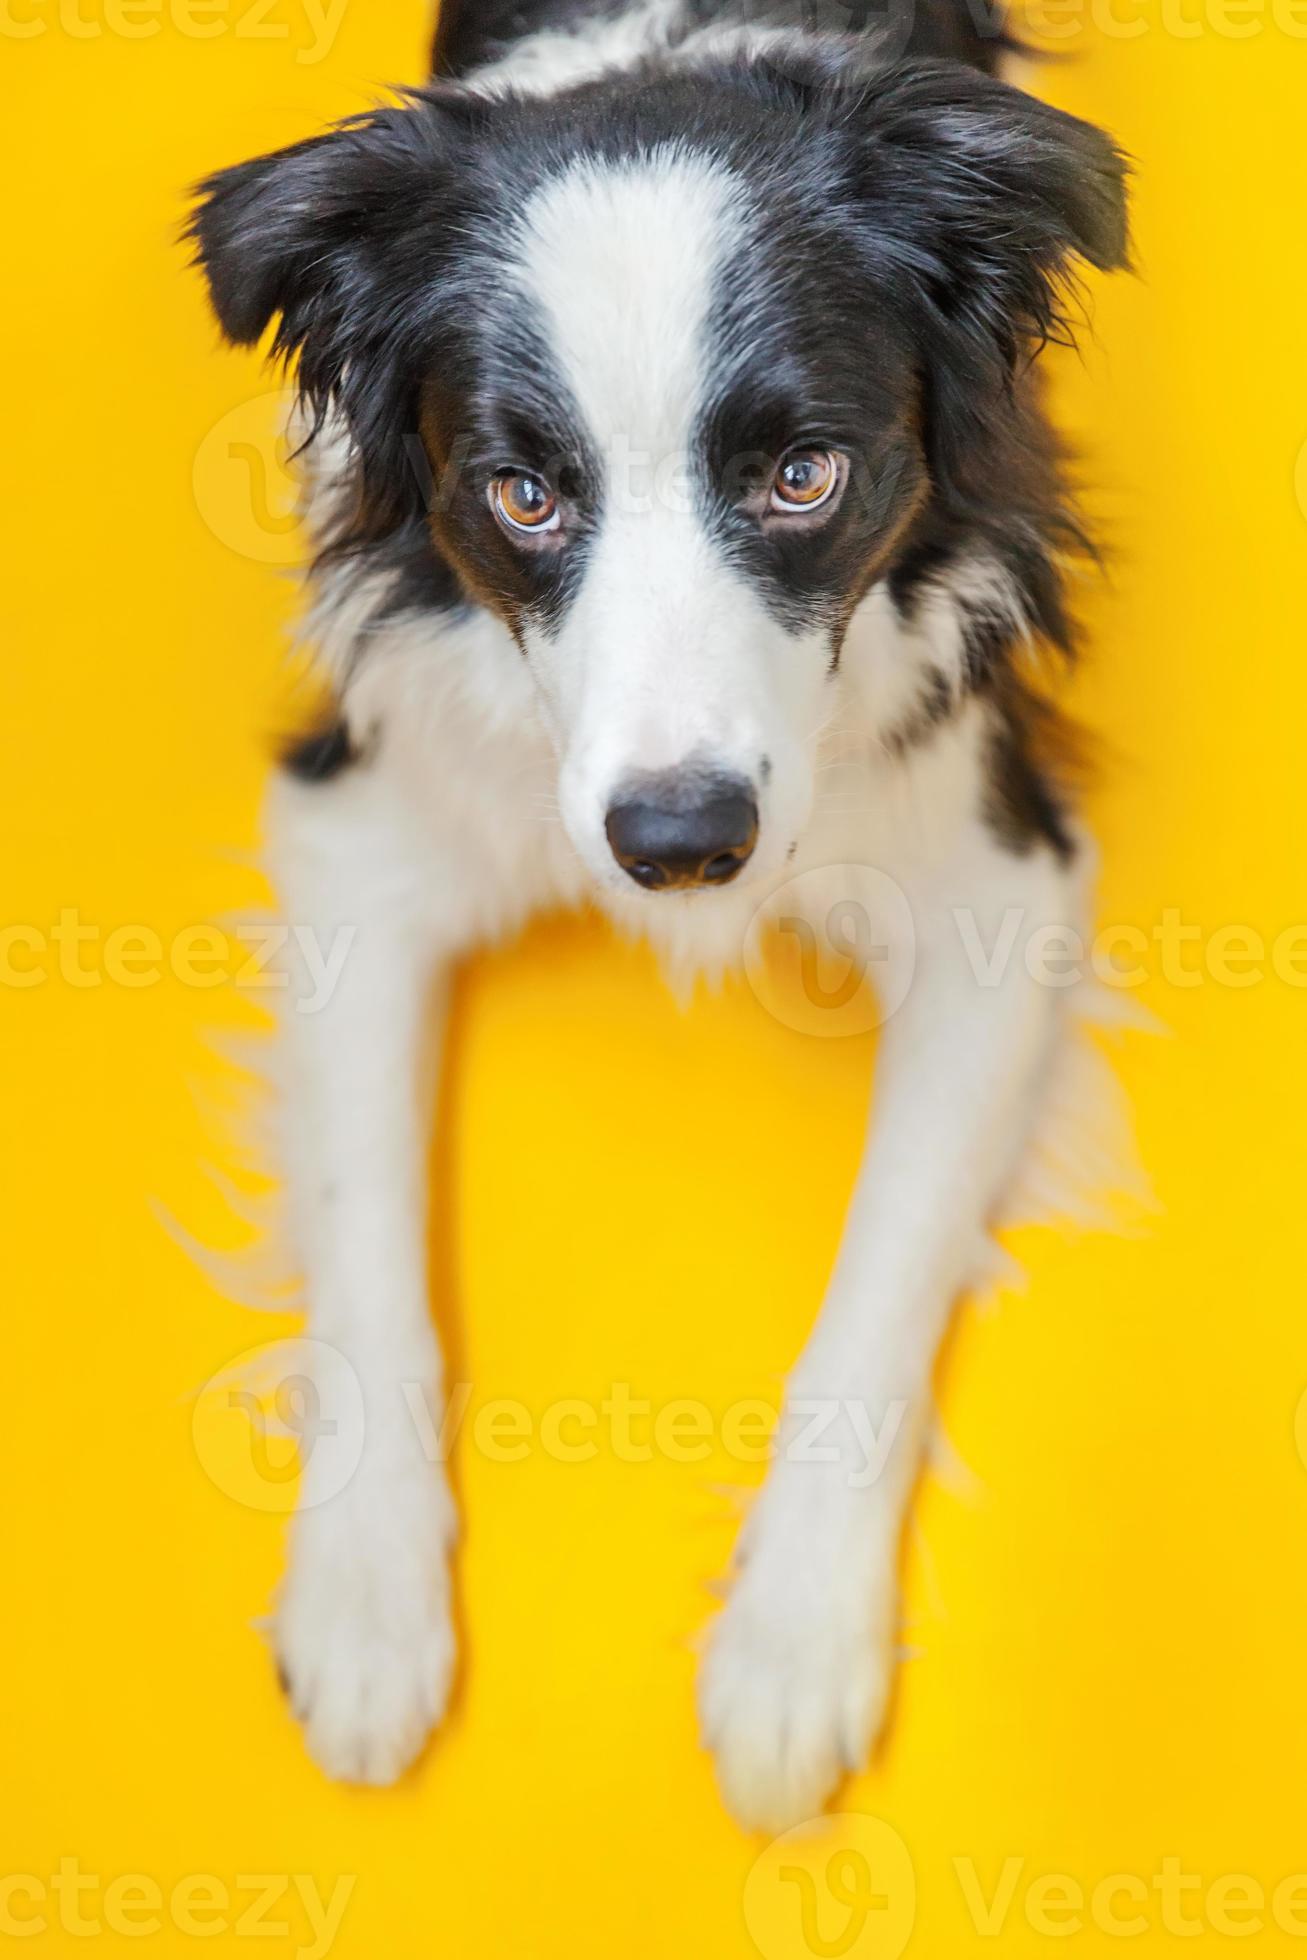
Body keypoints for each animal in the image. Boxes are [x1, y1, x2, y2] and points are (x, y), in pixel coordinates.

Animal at [192, 0, 1128, 1826]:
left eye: (802, 475)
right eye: (522, 494)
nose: (681, 842)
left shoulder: (995, 868)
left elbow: (885, 1267)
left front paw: (788, 1649)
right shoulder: (360, 817)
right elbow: (361, 1223)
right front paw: (362, 1606)